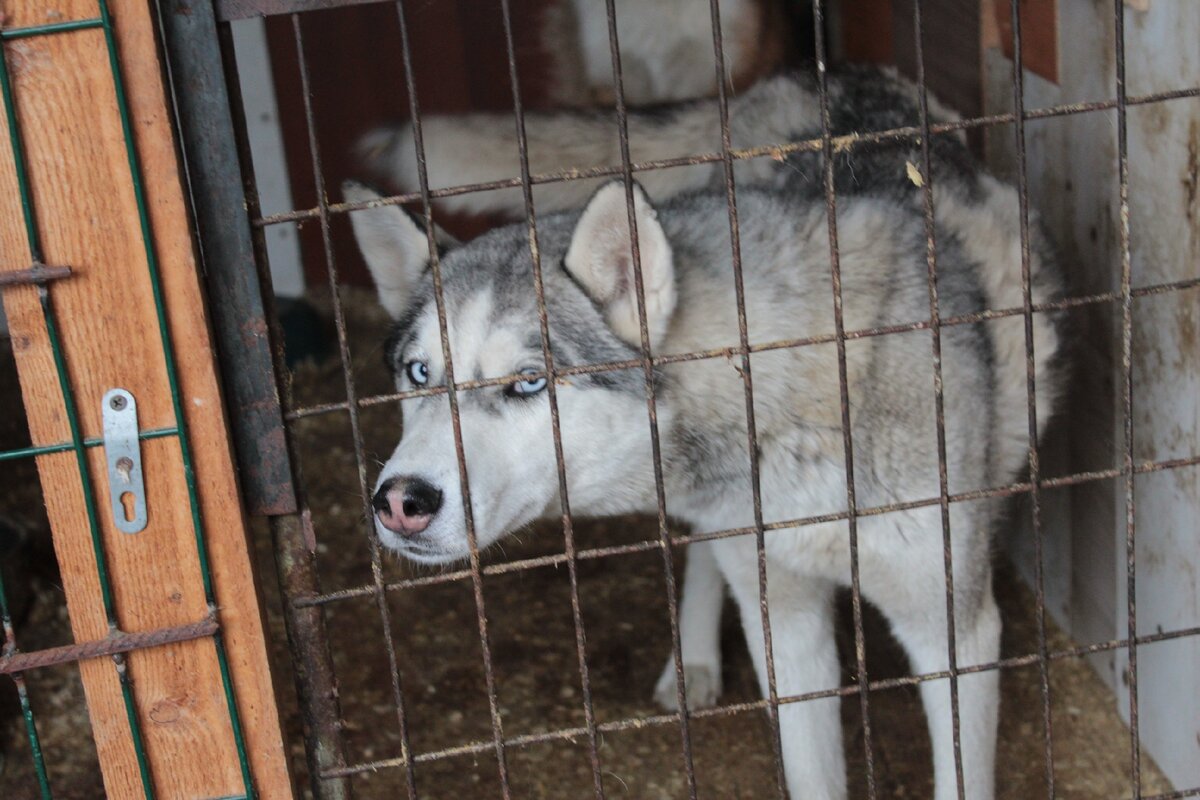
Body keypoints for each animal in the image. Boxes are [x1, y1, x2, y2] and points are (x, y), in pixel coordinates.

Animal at [343, 67, 1065, 800]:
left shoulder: (955, 633)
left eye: (528, 382)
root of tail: (811, 73)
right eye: (418, 372)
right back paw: (692, 662)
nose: (400, 501)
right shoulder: (786, 627)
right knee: (700, 552)